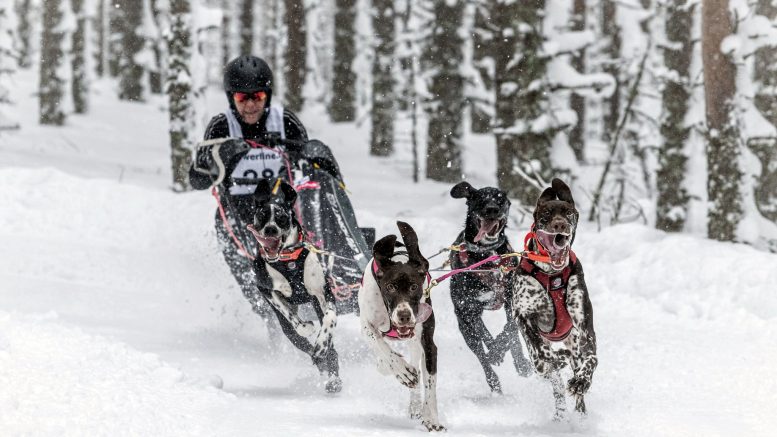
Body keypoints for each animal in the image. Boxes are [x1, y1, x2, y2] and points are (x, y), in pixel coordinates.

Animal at [247, 177, 342, 392]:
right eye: (262, 215)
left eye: (281, 216)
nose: (270, 230)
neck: (288, 261)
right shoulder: (265, 288)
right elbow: (290, 316)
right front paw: (306, 327)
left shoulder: (322, 292)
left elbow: (330, 317)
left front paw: (321, 342)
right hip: (287, 331)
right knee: (301, 342)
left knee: (330, 350)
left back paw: (330, 371)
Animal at [358, 220, 442, 430]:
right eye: (390, 287)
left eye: (414, 287)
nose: (404, 315)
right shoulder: (367, 326)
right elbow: (382, 348)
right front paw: (402, 371)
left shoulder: (428, 343)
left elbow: (430, 384)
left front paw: (432, 418)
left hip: (416, 343)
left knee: (418, 369)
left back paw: (416, 406)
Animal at [446, 181, 532, 392]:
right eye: (479, 198)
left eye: (501, 198)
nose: (492, 209)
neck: (488, 255)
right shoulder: (468, 309)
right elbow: (484, 336)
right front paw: (494, 352)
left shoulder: (513, 301)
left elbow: (511, 330)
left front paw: (514, 358)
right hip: (464, 324)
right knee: (480, 352)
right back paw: (494, 381)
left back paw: (519, 363)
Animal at [512, 177, 596, 416]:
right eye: (547, 214)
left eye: (568, 213)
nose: (560, 225)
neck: (552, 274)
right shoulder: (523, 317)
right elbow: (541, 354)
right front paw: (556, 359)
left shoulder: (585, 328)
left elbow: (591, 358)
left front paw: (582, 381)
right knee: (548, 372)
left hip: (574, 339)